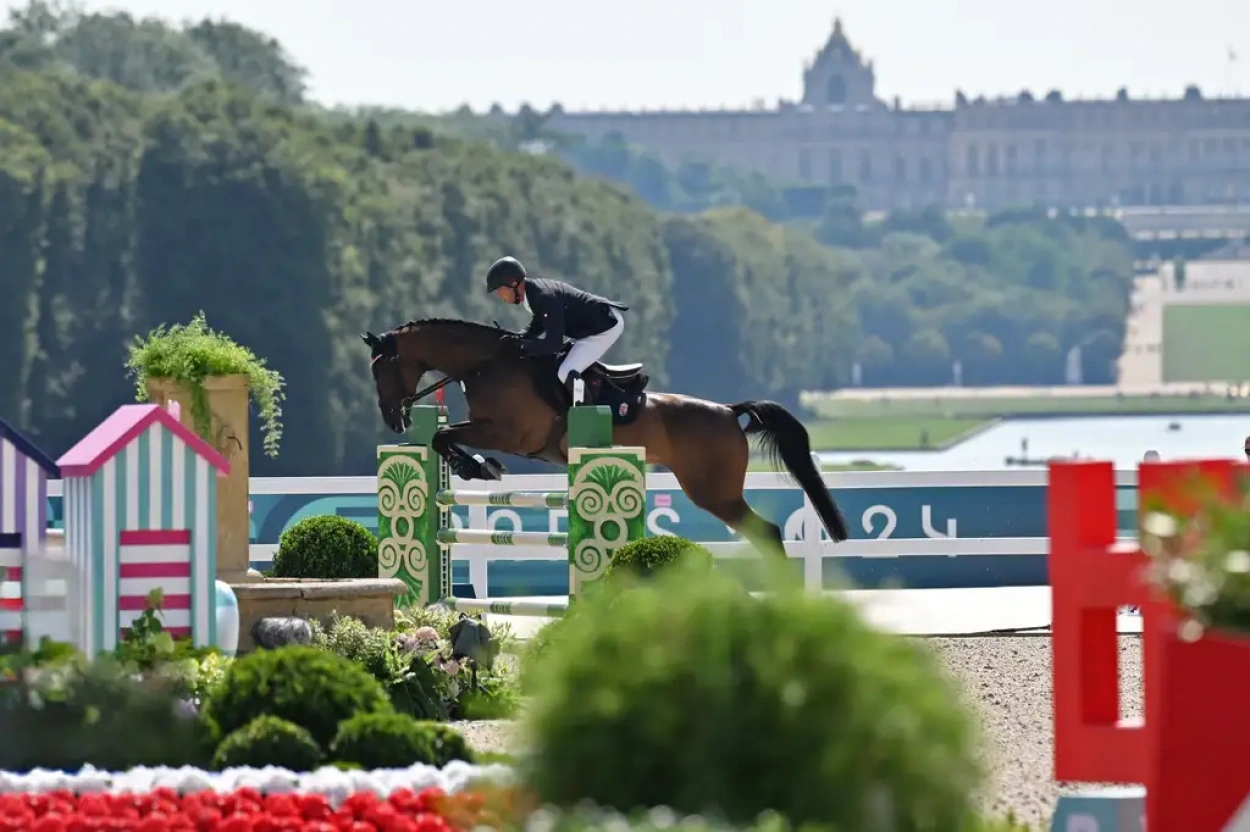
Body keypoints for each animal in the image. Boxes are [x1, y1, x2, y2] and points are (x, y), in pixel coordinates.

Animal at [362, 317, 850, 549]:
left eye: (382, 367)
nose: (393, 419)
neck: (487, 364)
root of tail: (730, 414)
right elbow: (442, 438)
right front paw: (476, 466)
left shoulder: (512, 434)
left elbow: (444, 437)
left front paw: (480, 467)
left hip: (714, 492)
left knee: (765, 531)